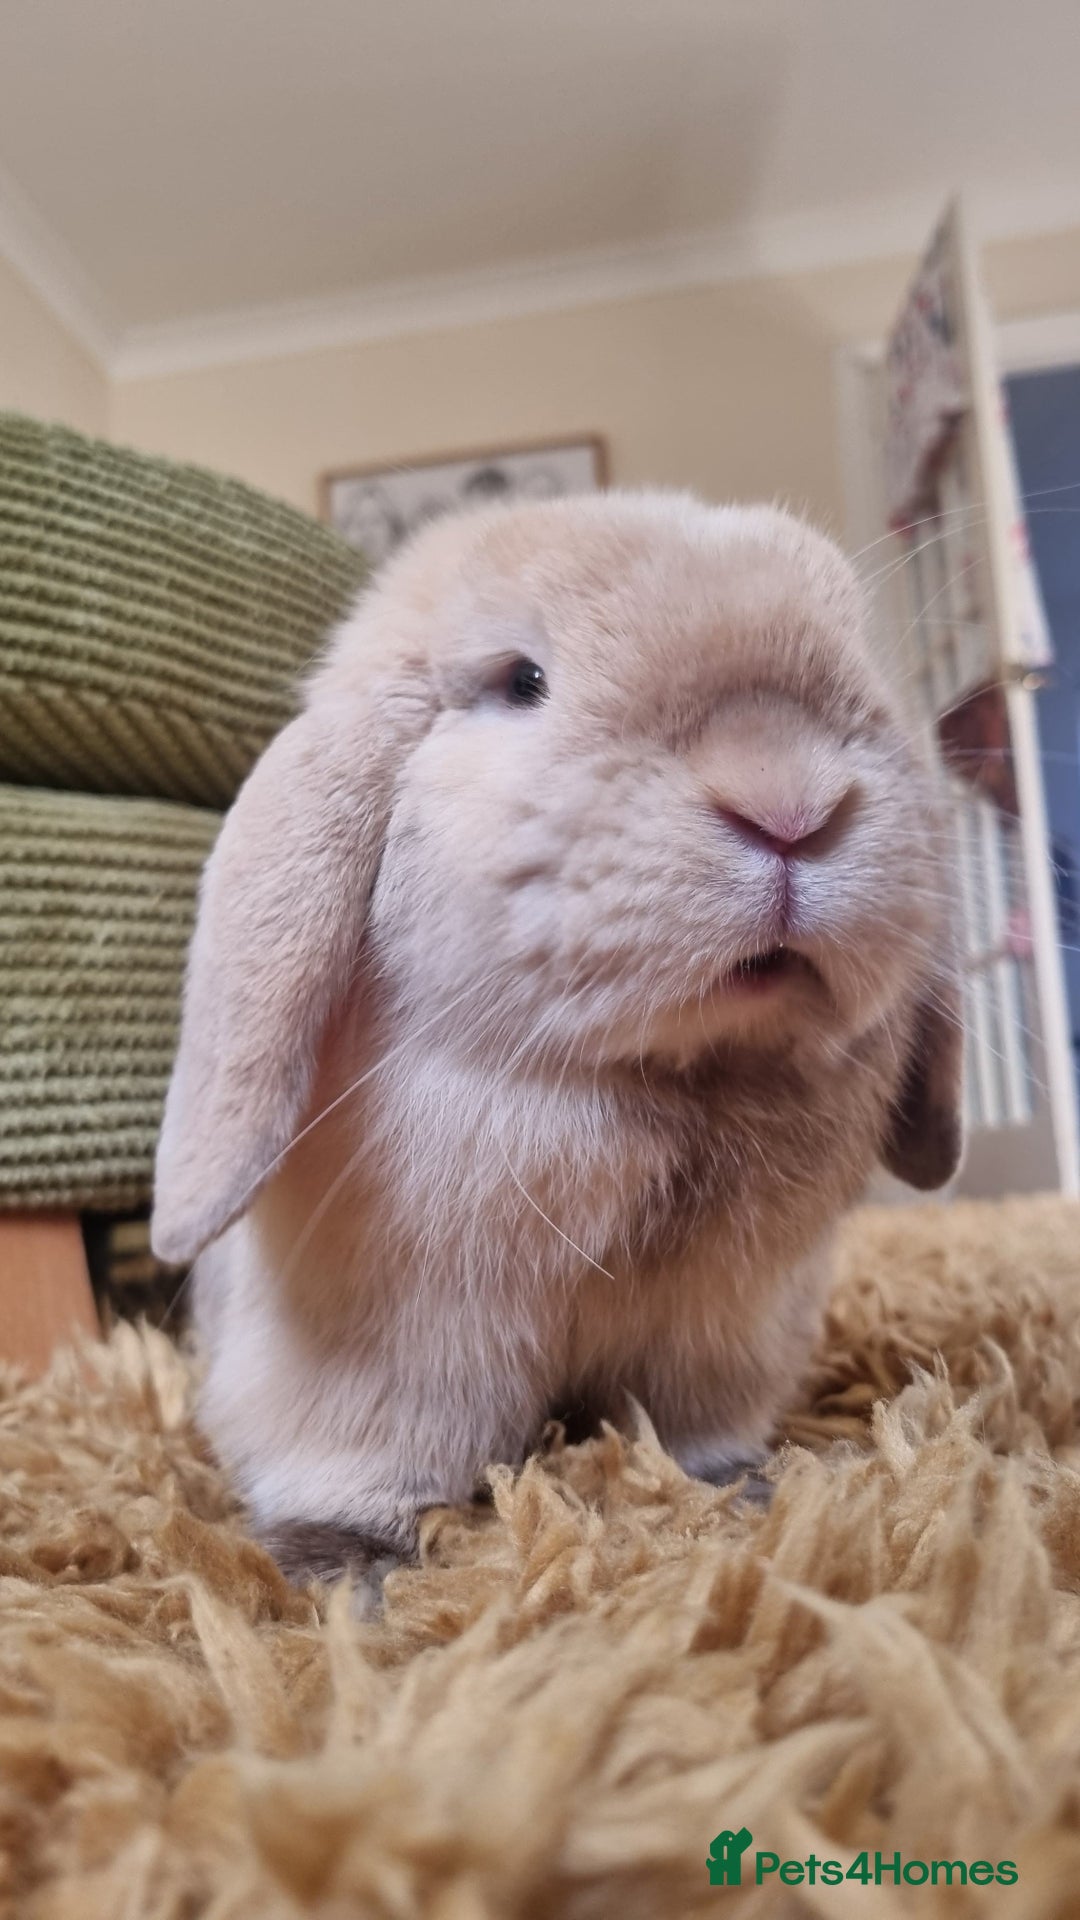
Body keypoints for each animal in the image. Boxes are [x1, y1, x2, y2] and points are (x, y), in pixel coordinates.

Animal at [151, 489, 962, 1597]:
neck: (670, 1077)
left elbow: (694, 1425)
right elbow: (367, 1450)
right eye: (521, 681)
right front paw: (338, 1569)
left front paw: (743, 1489)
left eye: (859, 663)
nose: (789, 803)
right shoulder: (392, 1344)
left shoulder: (727, 1323)